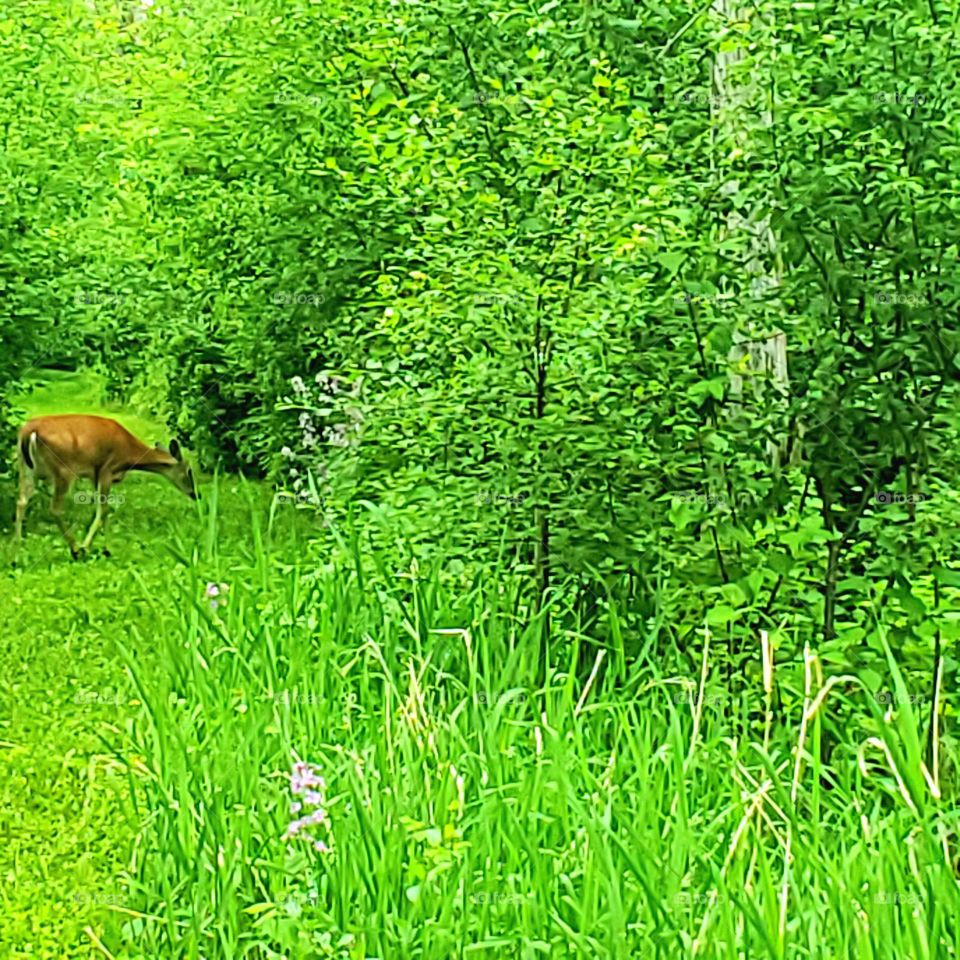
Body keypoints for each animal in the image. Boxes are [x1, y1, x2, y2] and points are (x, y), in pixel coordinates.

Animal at [14, 410, 197, 560]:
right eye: (189, 471)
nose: (195, 494)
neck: (129, 453)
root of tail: (29, 431)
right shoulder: (106, 470)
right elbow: (104, 510)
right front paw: (89, 547)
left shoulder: (95, 475)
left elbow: (104, 511)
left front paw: (106, 549)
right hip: (63, 471)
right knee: (55, 509)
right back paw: (76, 549)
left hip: (26, 468)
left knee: (21, 502)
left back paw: (16, 555)